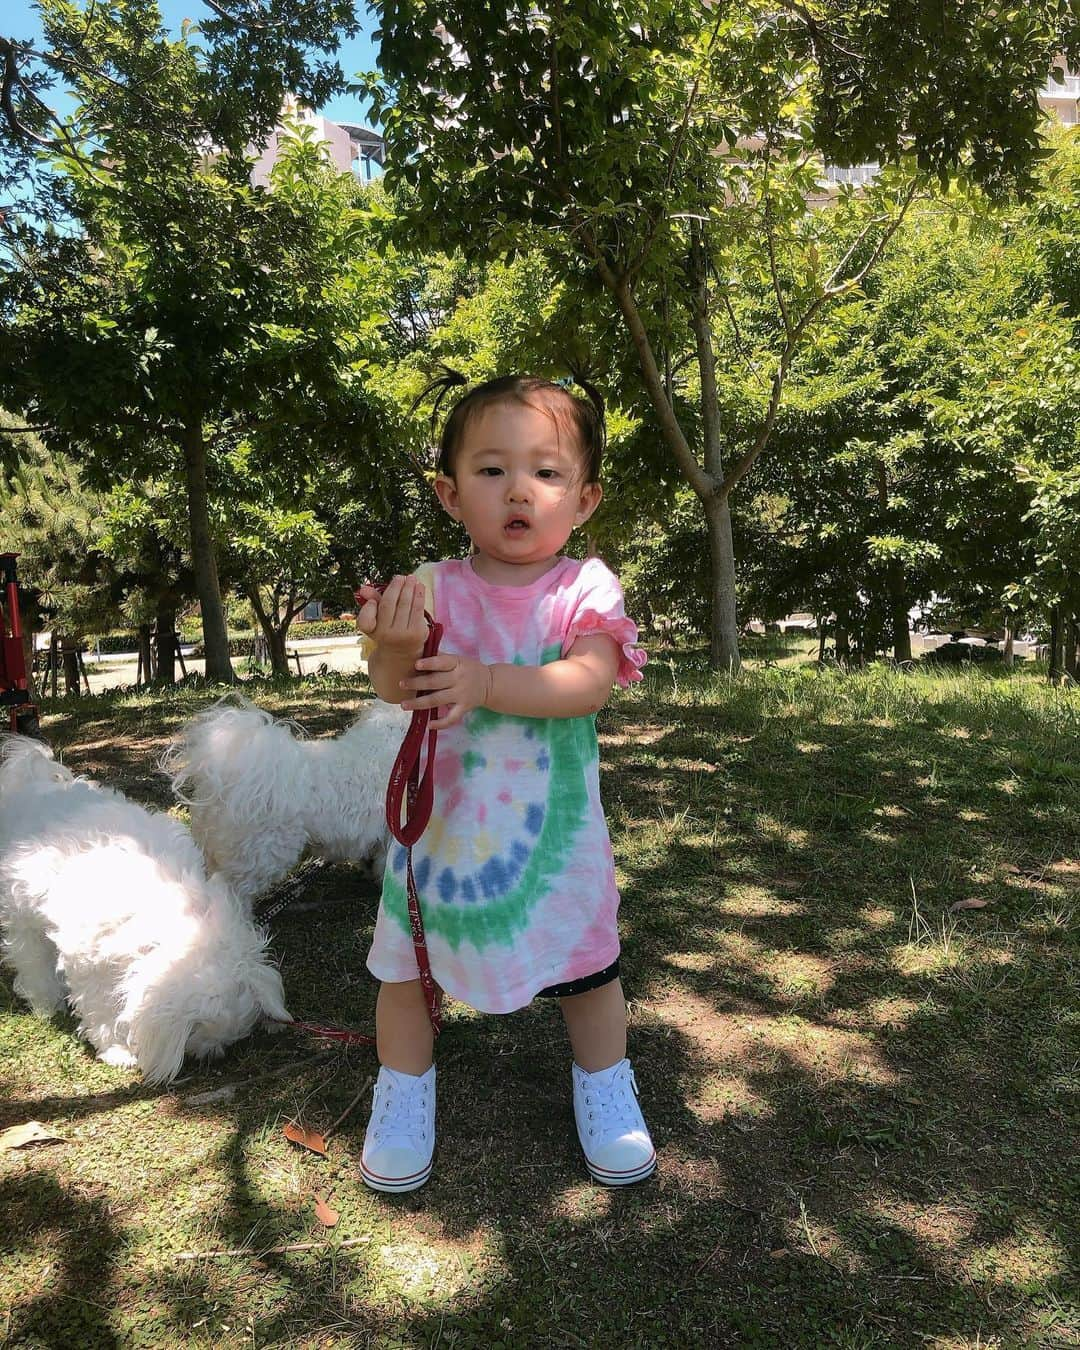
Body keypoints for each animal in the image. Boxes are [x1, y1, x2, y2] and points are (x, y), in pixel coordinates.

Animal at [0, 739, 291, 1085]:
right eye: (197, 1031)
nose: (216, 1053)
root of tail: (34, 783)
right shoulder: (89, 964)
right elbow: (100, 1008)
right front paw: (117, 1050)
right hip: (21, 911)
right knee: (30, 956)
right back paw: (45, 1001)